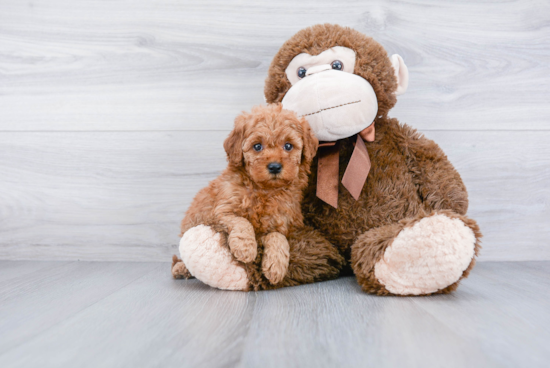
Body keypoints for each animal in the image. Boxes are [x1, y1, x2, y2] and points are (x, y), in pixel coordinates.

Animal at [172, 103, 320, 284]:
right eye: (257, 146)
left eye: (288, 146)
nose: (275, 167)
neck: (264, 190)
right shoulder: (220, 212)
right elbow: (242, 221)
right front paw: (245, 249)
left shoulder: (283, 223)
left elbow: (278, 236)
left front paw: (276, 266)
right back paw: (181, 269)